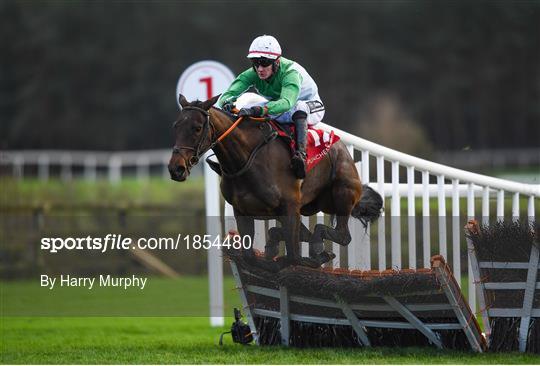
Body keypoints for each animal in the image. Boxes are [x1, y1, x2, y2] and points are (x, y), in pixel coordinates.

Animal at [167, 95, 382, 268]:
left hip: (341, 195)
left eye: (197, 128)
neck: (246, 159)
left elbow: (294, 257)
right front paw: (271, 251)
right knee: (304, 232)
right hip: (308, 206)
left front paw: (312, 256)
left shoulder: (290, 206)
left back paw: (316, 244)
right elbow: (251, 257)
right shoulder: (242, 211)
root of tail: (341, 147)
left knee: (342, 236)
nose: (175, 168)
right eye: (176, 126)